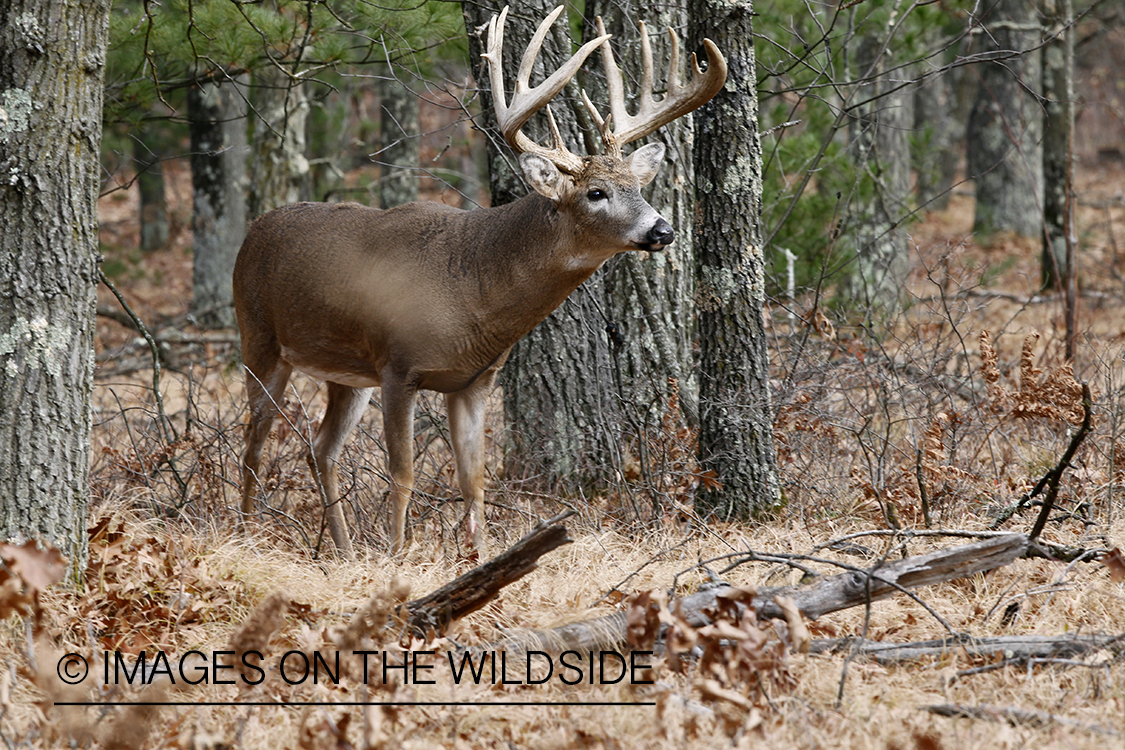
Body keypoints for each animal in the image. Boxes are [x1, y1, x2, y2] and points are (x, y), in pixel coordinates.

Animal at [235, 5, 729, 557]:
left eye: (638, 187)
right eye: (596, 193)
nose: (662, 230)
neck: (474, 288)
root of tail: (254, 229)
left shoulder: (474, 381)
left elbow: (473, 482)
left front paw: (485, 560)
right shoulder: (398, 366)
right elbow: (403, 474)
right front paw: (396, 556)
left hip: (347, 373)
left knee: (320, 449)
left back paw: (341, 551)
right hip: (260, 340)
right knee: (252, 445)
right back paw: (247, 533)